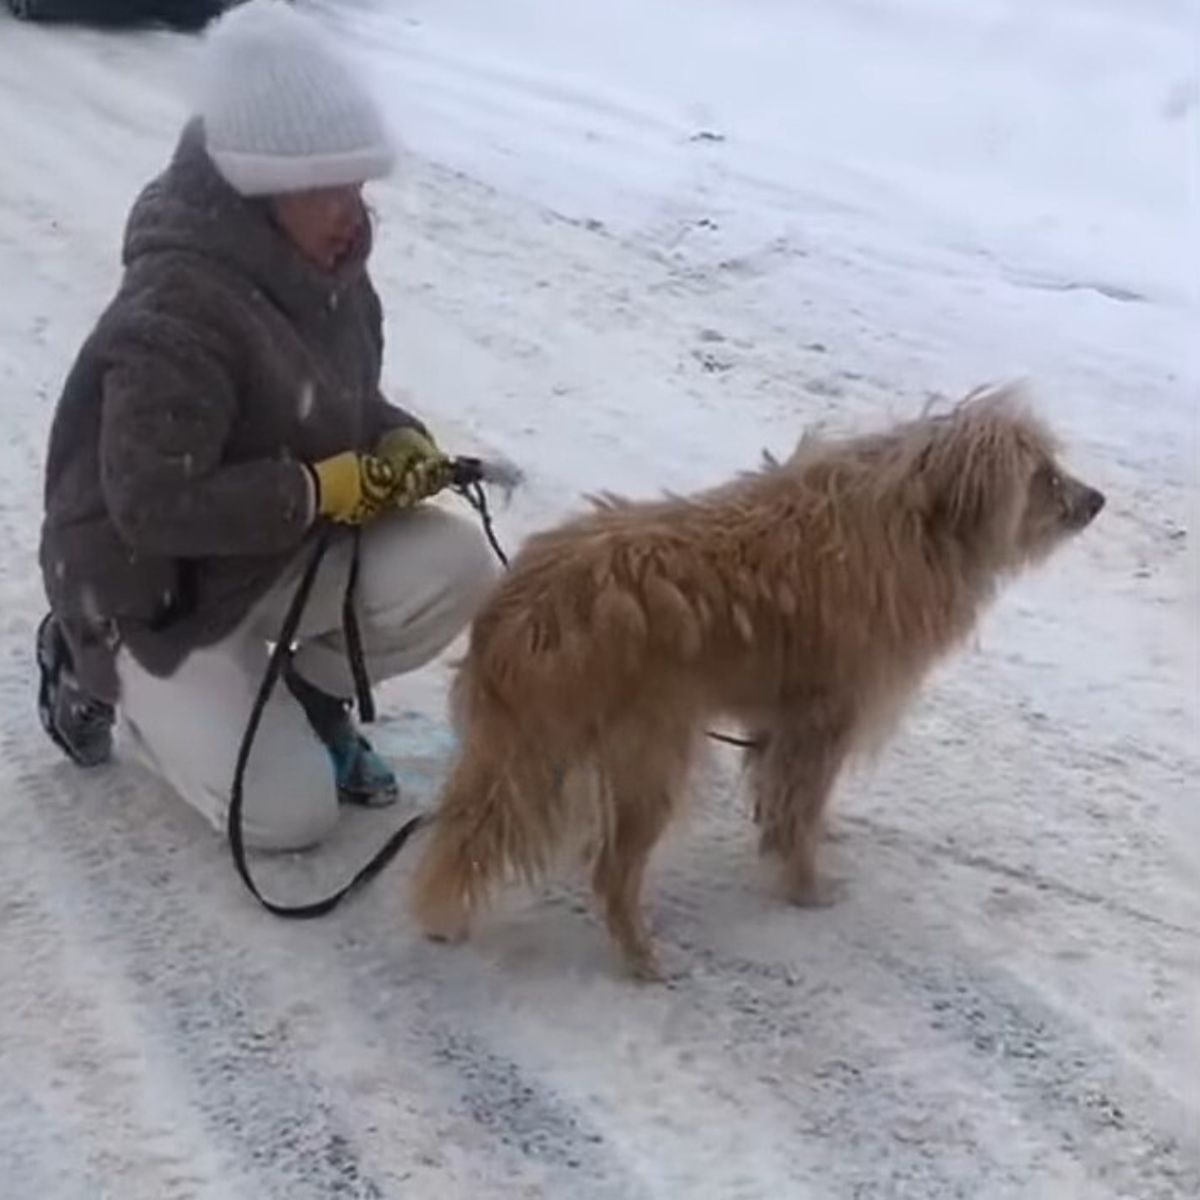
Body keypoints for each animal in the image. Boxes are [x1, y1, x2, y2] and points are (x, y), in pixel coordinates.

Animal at [412, 381, 1104, 974]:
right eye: (1043, 476)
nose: (1096, 501)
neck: (916, 522)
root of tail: (524, 608)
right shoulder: (823, 720)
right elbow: (799, 808)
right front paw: (805, 884)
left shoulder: (788, 727)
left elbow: (790, 802)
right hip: (649, 757)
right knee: (610, 870)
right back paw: (640, 955)